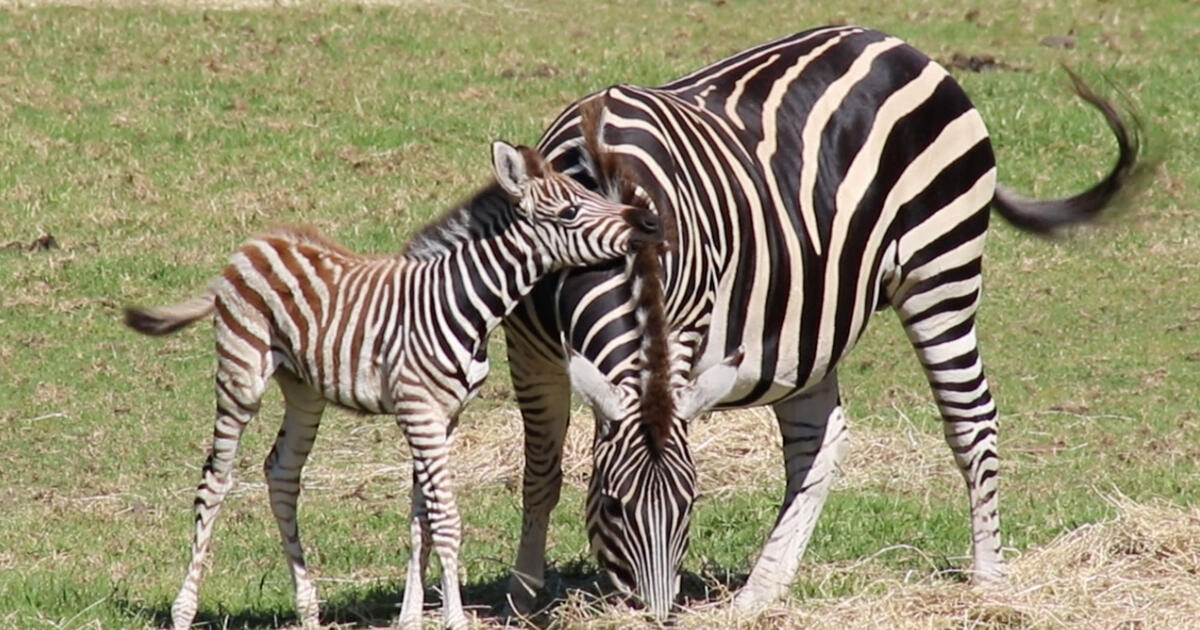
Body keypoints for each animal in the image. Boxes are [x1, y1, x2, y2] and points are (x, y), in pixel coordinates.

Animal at [123, 140, 663, 630]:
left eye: (588, 194)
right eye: (571, 210)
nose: (651, 223)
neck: (463, 303)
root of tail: (252, 245)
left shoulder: (445, 417)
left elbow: (421, 514)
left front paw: (411, 616)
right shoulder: (421, 412)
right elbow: (445, 520)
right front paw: (454, 620)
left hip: (304, 389)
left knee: (281, 474)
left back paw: (308, 610)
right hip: (241, 375)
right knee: (215, 480)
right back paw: (184, 611)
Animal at [500, 25, 1141, 618]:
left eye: (691, 505)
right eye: (610, 503)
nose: (655, 616)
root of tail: (901, 45)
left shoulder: (680, 331)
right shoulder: (528, 349)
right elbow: (541, 470)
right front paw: (523, 595)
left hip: (942, 269)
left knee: (970, 416)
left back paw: (987, 580)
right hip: (803, 318)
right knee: (820, 438)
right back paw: (761, 592)